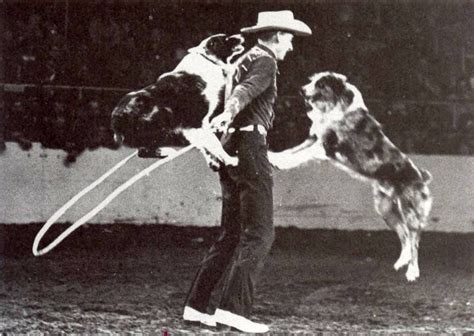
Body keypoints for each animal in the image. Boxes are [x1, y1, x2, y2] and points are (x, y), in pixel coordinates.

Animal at [111, 32, 244, 167]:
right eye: (226, 39)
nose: (241, 35)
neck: (208, 60)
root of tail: (116, 117)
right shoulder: (195, 124)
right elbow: (214, 143)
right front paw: (230, 160)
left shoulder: (198, 125)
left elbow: (207, 145)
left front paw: (214, 161)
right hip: (159, 125)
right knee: (143, 151)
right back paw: (166, 151)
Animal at [268, 71, 432, 280]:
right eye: (312, 80)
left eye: (321, 84)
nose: (301, 90)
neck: (335, 107)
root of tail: (421, 176)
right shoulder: (313, 139)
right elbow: (291, 151)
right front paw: (273, 155)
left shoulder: (325, 146)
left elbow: (298, 156)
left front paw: (277, 161)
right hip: (385, 209)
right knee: (404, 235)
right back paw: (401, 262)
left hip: (410, 209)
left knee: (414, 239)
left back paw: (412, 271)